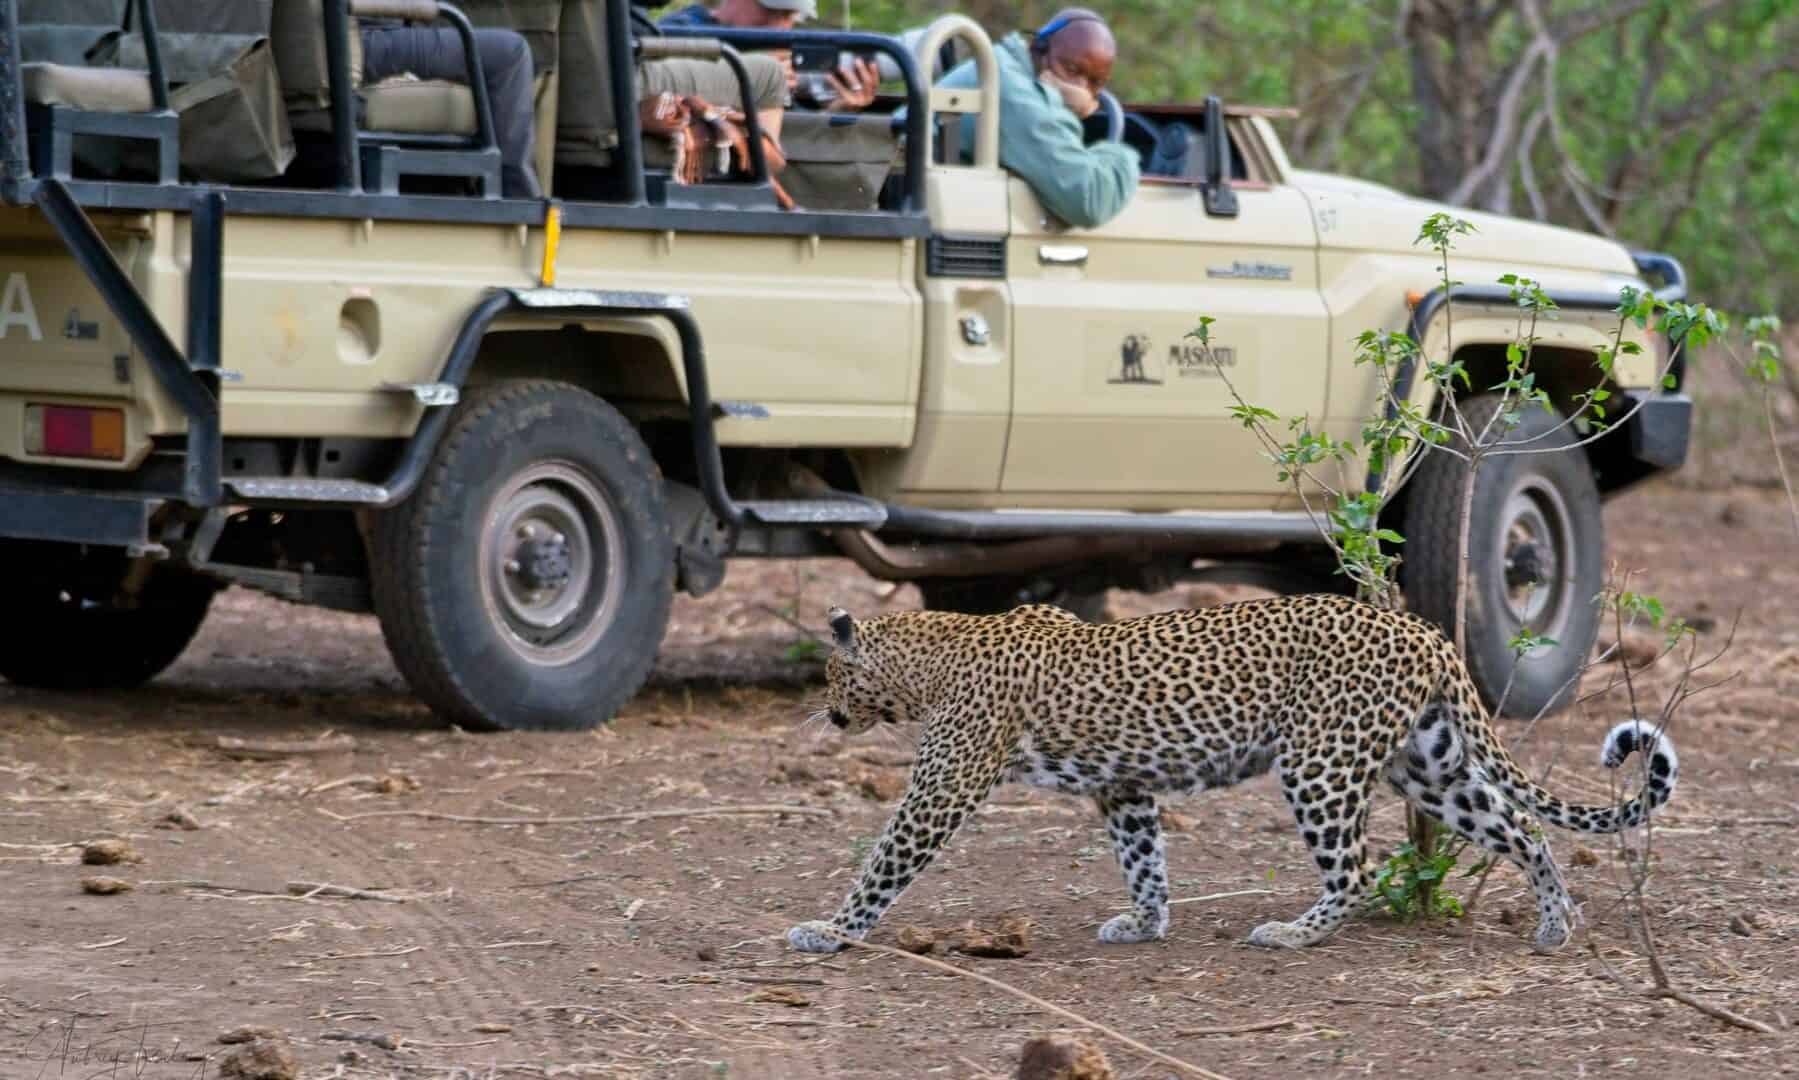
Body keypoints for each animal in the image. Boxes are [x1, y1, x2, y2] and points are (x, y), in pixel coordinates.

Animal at [786, 593, 1679, 955]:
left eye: (830, 676)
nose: (825, 712)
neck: (928, 659)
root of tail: (1423, 629)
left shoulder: (945, 785)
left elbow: (884, 863)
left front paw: (828, 930)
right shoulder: (1124, 788)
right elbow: (1143, 861)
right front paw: (1144, 924)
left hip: (1319, 761)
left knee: (1355, 869)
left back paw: (1292, 932)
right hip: (1425, 766)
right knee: (1519, 826)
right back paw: (1556, 923)